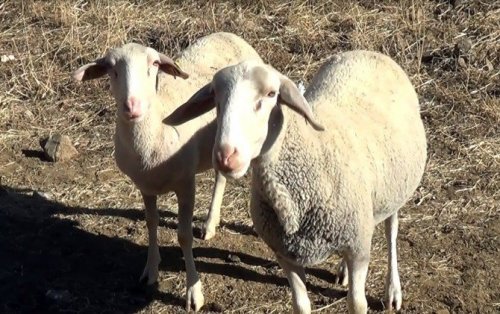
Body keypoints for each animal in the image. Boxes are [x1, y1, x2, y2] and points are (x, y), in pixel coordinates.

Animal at [73, 31, 262, 312]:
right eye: (110, 68)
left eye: (153, 64)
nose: (132, 106)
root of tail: (229, 34)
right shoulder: (145, 187)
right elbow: (151, 224)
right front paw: (151, 271)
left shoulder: (186, 184)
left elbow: (183, 237)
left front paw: (194, 292)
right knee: (220, 176)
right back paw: (210, 223)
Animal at [166, 51, 428, 314]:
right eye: (215, 97)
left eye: (271, 94)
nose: (226, 156)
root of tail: (367, 52)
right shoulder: (286, 254)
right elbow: (301, 305)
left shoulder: (358, 249)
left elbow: (357, 303)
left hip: (395, 188)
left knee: (391, 230)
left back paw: (392, 290)